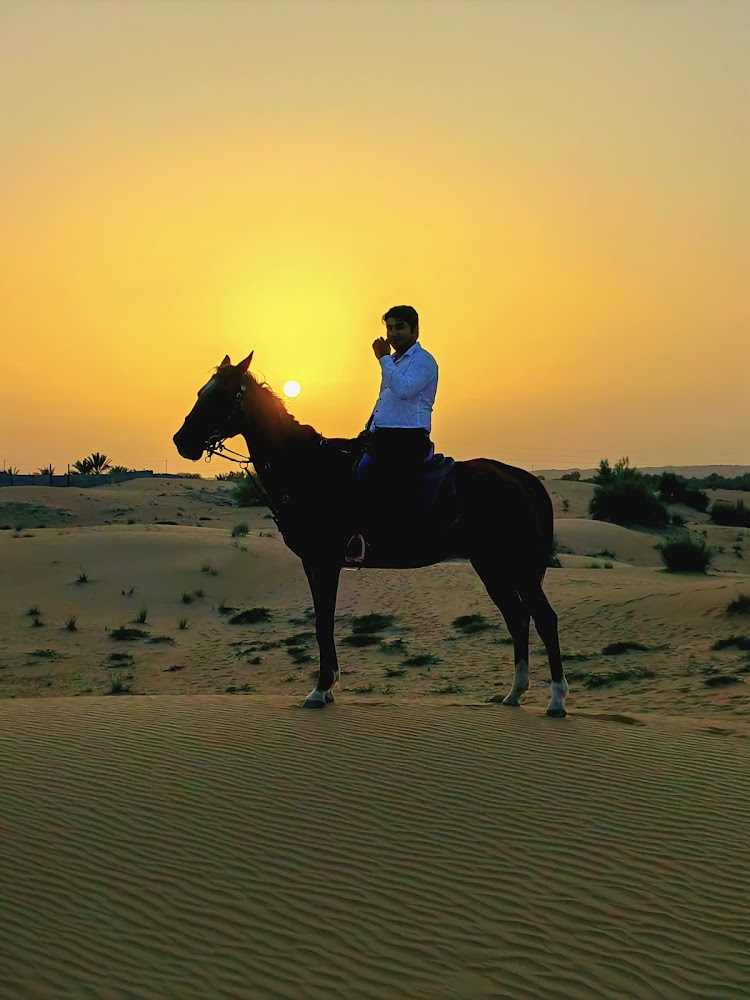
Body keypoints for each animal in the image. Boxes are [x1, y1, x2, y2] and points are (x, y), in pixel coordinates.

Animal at [173, 353, 569, 717]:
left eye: (220, 395)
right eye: (200, 392)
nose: (181, 441)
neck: (308, 470)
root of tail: (521, 478)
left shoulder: (325, 561)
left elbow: (323, 621)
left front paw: (319, 690)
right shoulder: (312, 563)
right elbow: (323, 620)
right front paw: (328, 686)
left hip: (517, 566)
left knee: (543, 618)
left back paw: (556, 700)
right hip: (491, 565)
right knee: (517, 617)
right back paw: (515, 693)